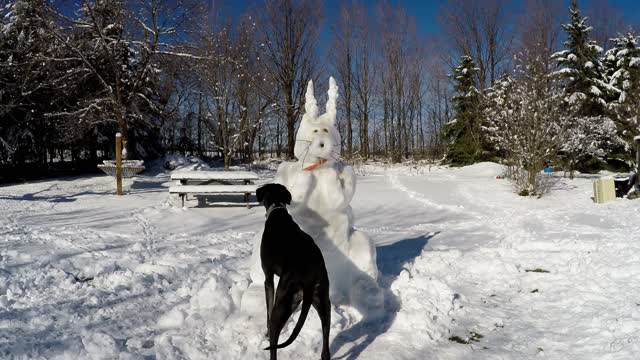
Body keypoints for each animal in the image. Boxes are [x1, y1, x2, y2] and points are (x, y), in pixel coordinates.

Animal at [258, 184, 332, 360]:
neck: (277, 209)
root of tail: (309, 275)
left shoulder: (268, 278)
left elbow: (268, 308)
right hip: (323, 300)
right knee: (326, 344)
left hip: (284, 299)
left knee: (274, 344)